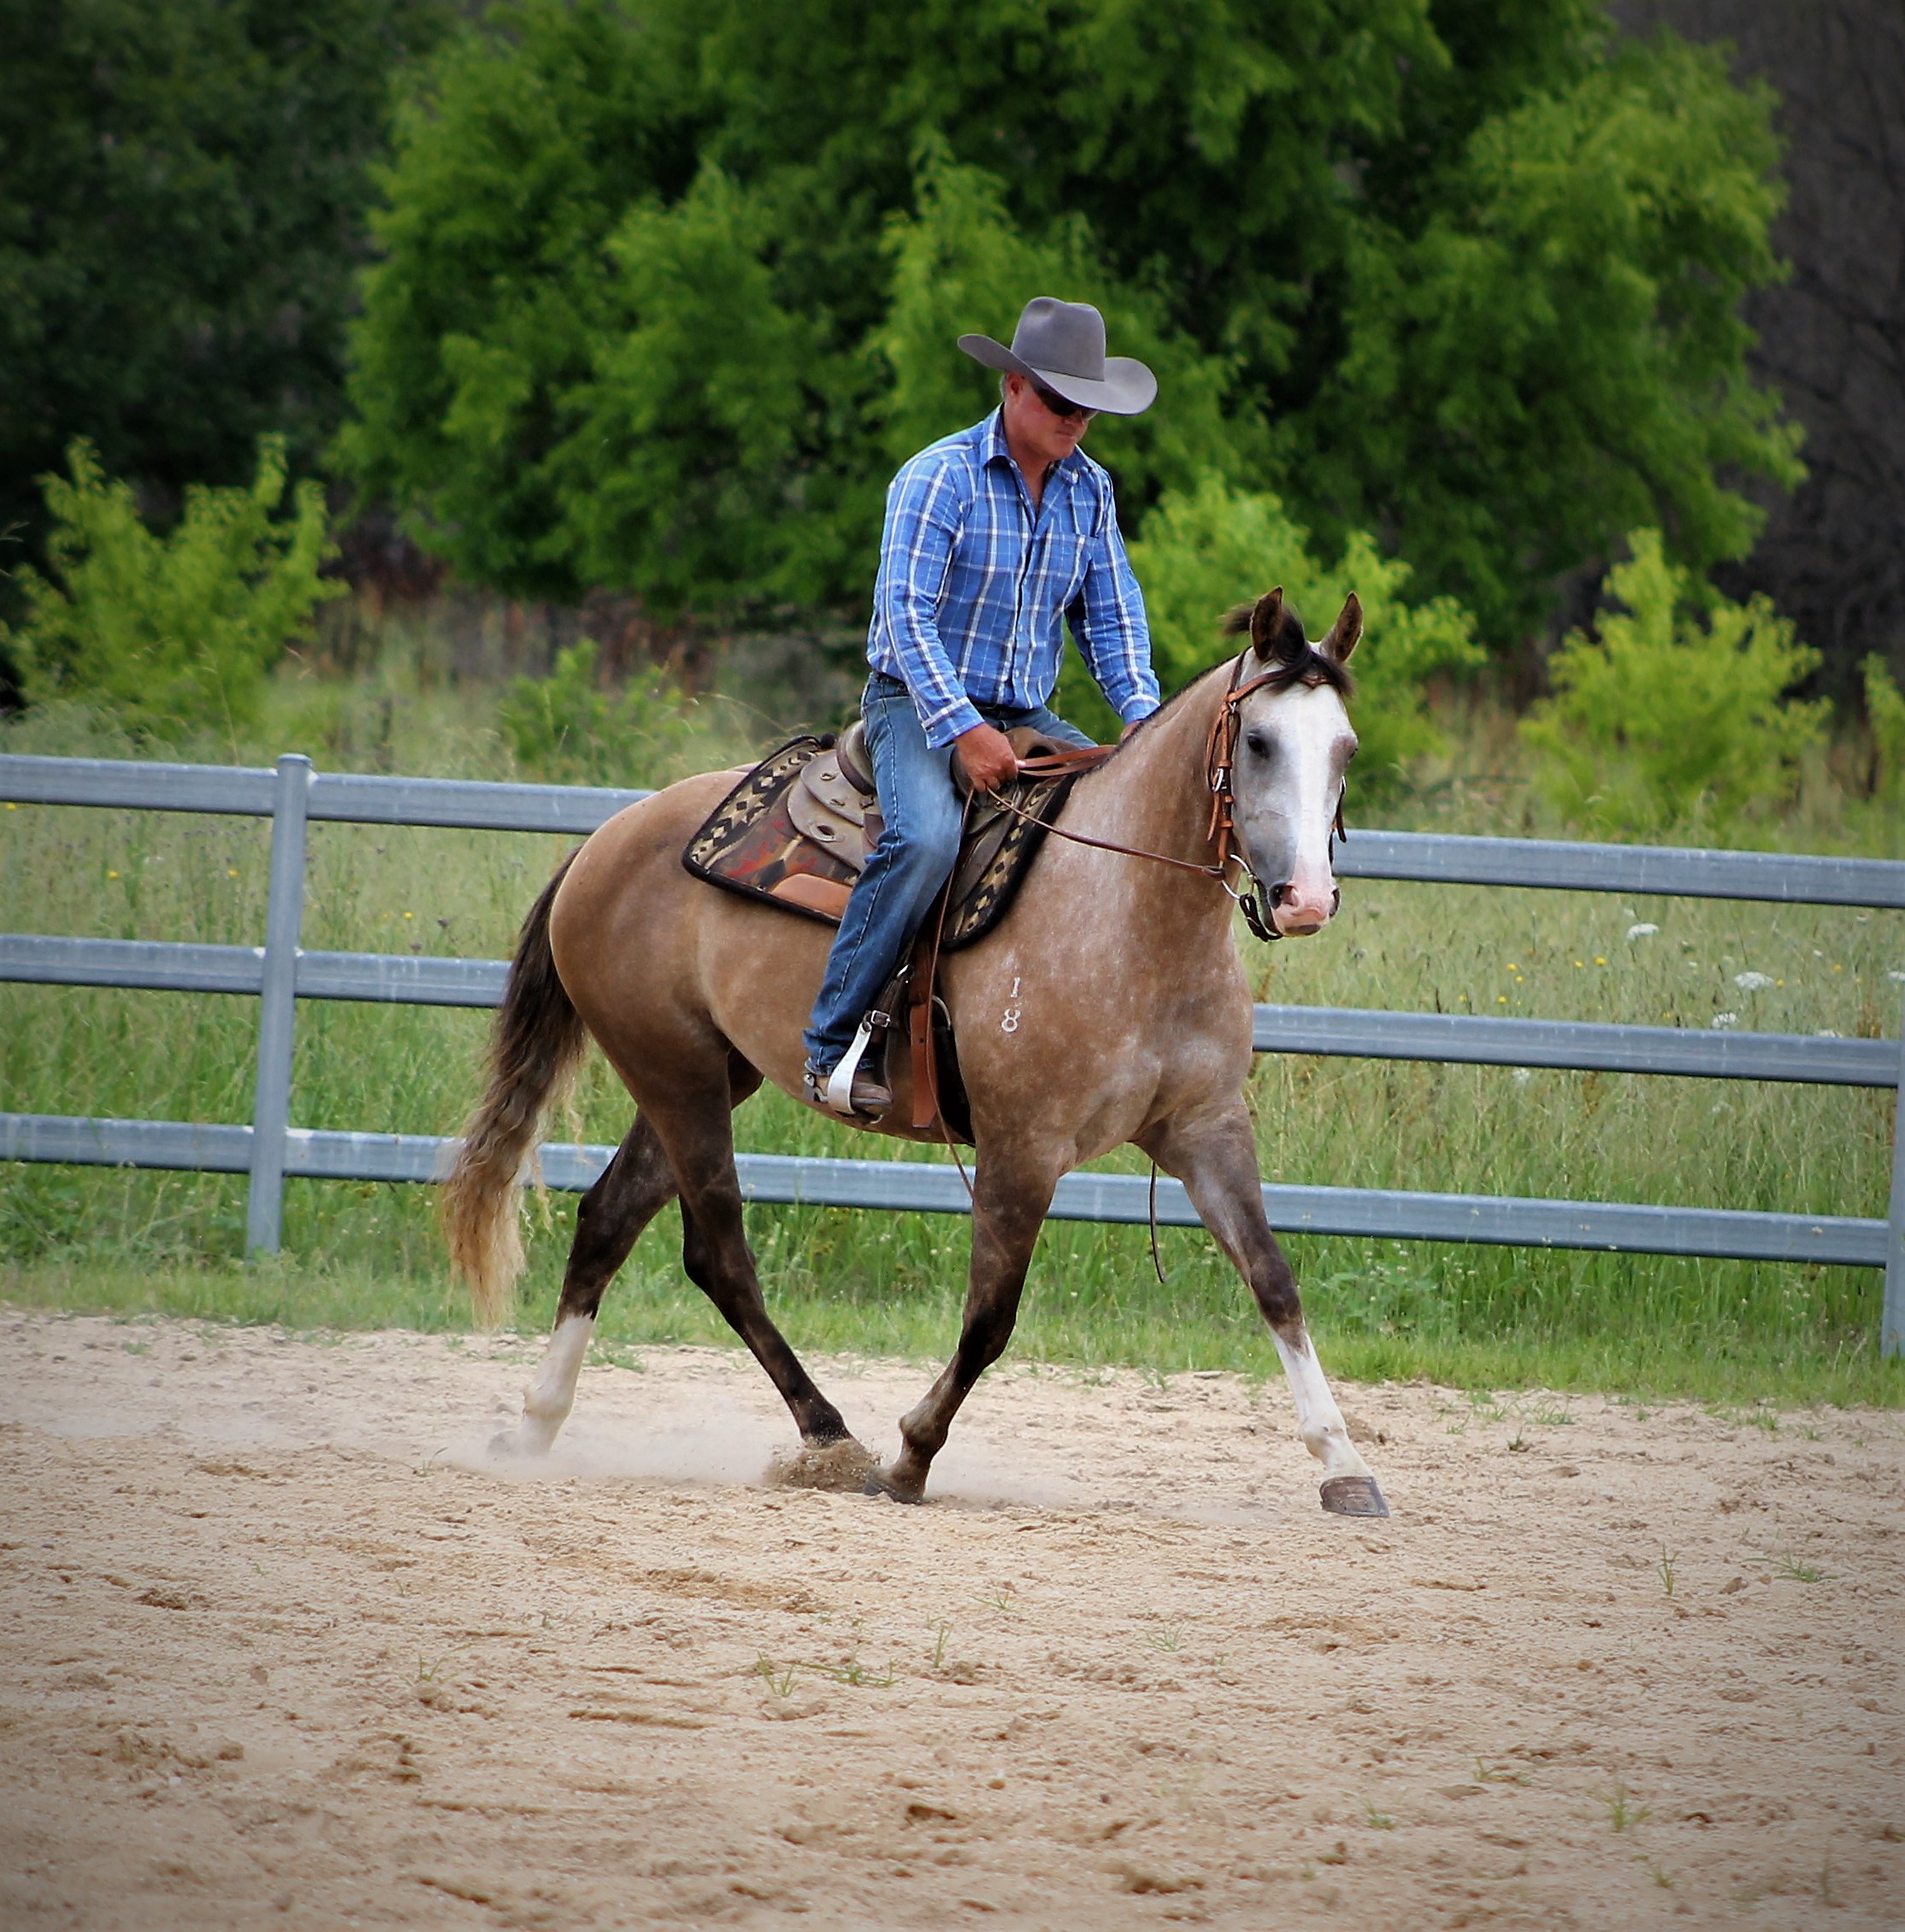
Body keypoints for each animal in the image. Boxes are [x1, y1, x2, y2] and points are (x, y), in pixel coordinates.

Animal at [442, 587, 1388, 1516]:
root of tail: (606, 839)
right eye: (1259, 741)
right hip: (674, 1076)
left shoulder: (1205, 1128)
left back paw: (537, 1423)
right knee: (720, 1251)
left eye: (1344, 747)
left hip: (703, 1074)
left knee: (611, 1219)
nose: (1306, 899)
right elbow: (990, 1317)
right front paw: (909, 1457)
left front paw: (1341, 1462)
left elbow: (1273, 1279)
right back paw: (829, 1436)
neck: (1127, 910)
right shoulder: (1021, 1150)